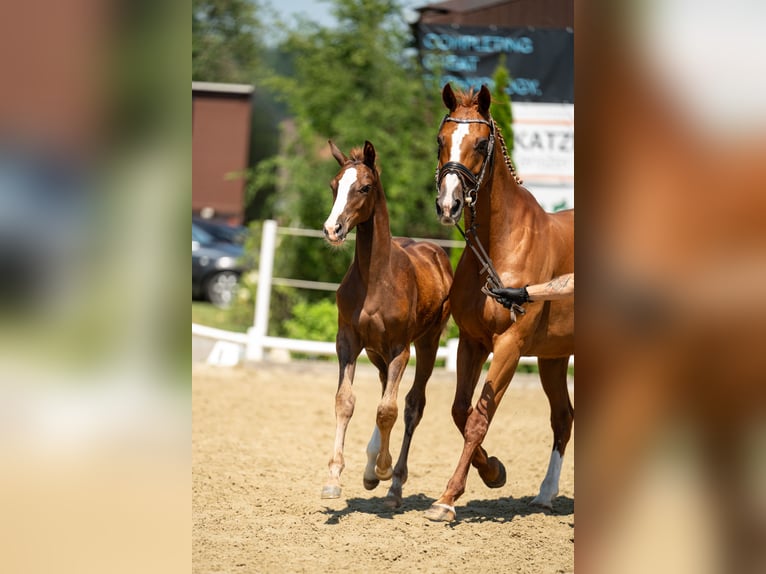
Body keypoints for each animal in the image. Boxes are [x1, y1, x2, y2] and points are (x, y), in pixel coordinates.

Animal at [320, 140, 453, 508]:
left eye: (365, 187)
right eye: (334, 185)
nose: (332, 229)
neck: (376, 279)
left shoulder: (399, 350)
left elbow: (390, 410)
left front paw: (383, 469)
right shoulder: (348, 342)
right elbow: (345, 402)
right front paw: (334, 479)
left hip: (427, 343)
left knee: (411, 406)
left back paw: (394, 483)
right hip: (376, 353)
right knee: (384, 392)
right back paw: (371, 469)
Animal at [423, 84, 575, 522]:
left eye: (480, 142)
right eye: (441, 140)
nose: (449, 205)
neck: (500, 243)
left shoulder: (509, 345)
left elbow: (479, 419)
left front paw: (448, 498)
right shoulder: (472, 342)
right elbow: (461, 411)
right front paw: (493, 472)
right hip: (554, 357)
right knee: (563, 418)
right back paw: (545, 494)